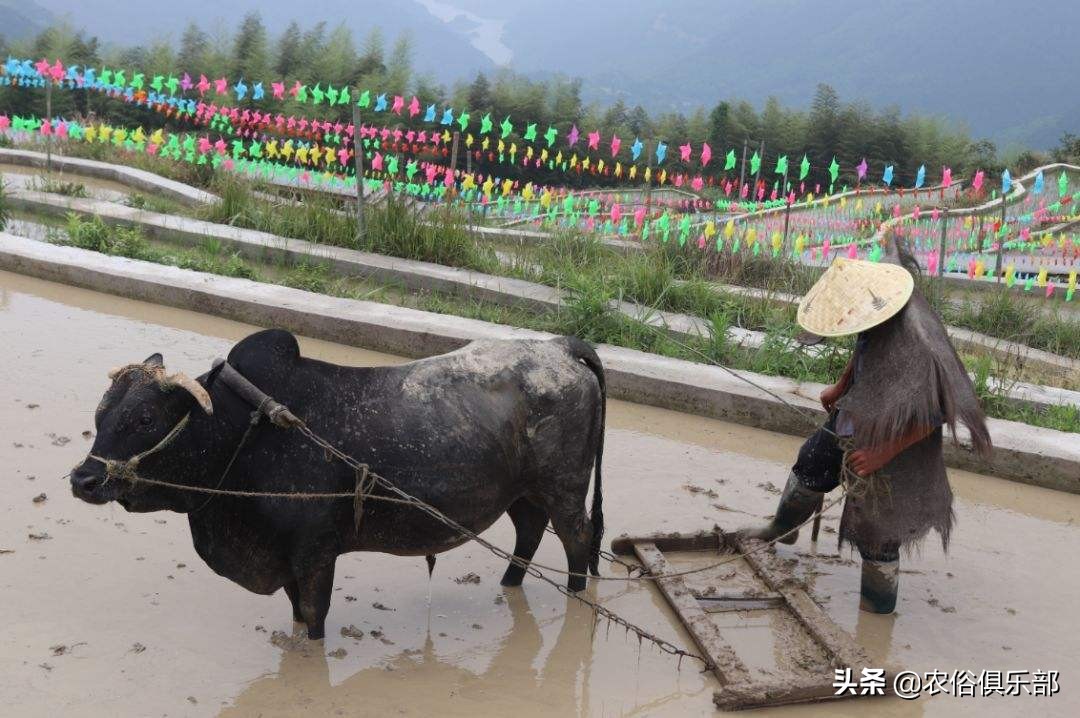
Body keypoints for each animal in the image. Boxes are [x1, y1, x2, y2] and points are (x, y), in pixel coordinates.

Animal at [68, 330, 609, 639]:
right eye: (101, 412)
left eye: (143, 418)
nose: (84, 480)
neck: (241, 434)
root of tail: (560, 348)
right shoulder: (285, 557)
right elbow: (296, 614)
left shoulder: (314, 555)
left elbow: (314, 618)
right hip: (522, 491)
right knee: (530, 532)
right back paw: (508, 586)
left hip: (564, 487)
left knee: (577, 540)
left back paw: (576, 598)